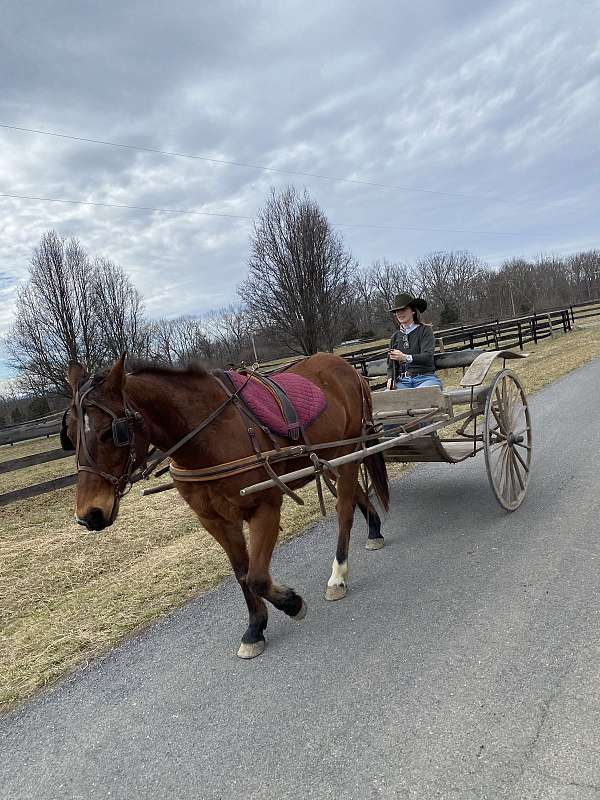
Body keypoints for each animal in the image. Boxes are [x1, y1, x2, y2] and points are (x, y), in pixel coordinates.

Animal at [64, 354, 390, 660]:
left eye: (111, 432)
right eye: (70, 432)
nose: (89, 515)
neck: (209, 435)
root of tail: (345, 366)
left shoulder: (264, 507)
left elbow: (257, 578)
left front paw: (292, 603)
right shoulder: (215, 520)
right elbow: (242, 574)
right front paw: (255, 628)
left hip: (348, 452)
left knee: (344, 509)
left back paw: (338, 575)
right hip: (332, 459)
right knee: (356, 495)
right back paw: (374, 530)